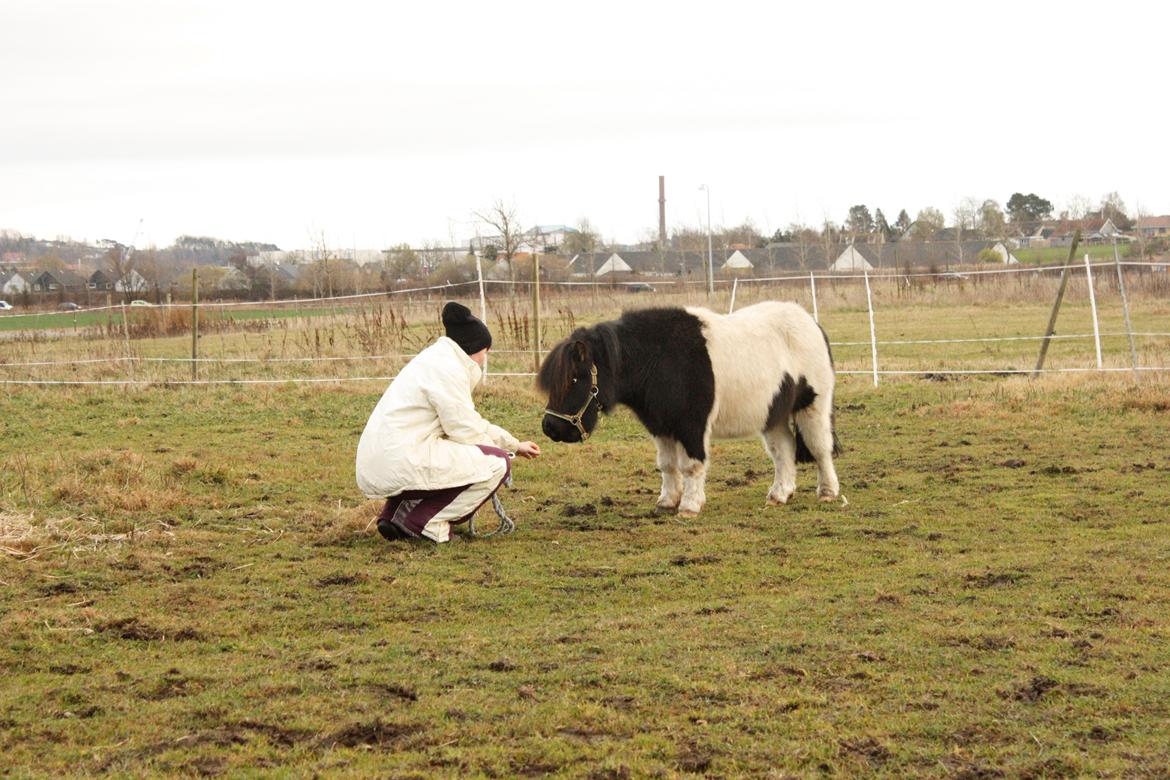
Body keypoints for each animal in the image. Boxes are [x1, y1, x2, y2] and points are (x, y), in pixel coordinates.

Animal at [538, 301, 842, 514]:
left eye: (574, 379)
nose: (551, 428)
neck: (659, 360)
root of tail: (812, 324)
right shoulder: (661, 426)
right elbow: (667, 465)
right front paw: (666, 501)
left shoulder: (692, 426)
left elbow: (692, 465)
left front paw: (690, 506)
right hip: (773, 415)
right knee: (784, 452)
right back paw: (779, 494)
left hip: (812, 408)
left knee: (820, 448)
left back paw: (828, 492)